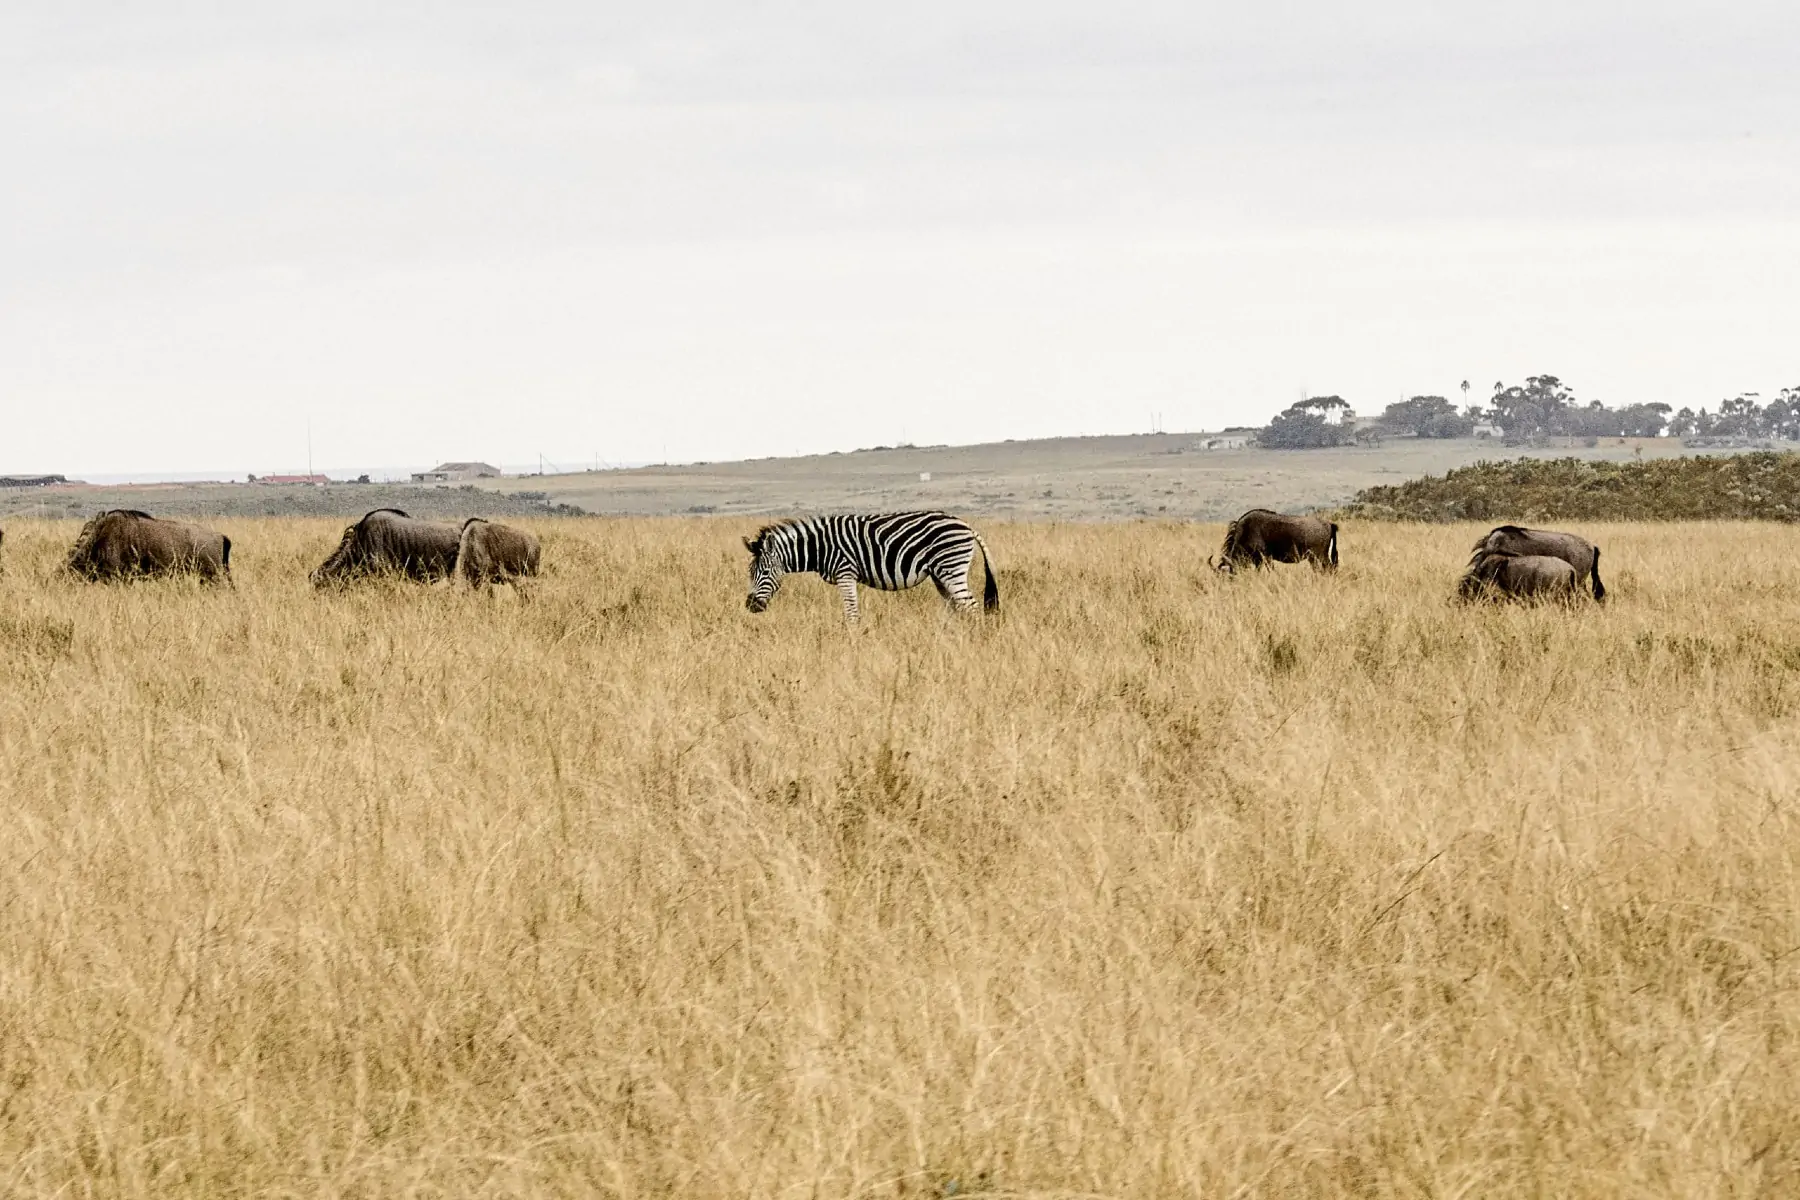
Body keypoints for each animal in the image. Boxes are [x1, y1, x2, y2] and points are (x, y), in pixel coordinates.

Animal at [741, 510, 1000, 618]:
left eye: (765, 571)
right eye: (750, 572)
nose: (750, 606)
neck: (820, 547)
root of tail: (965, 525)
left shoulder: (845, 573)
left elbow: (851, 613)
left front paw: (852, 642)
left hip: (951, 568)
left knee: (971, 607)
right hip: (940, 575)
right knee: (959, 608)